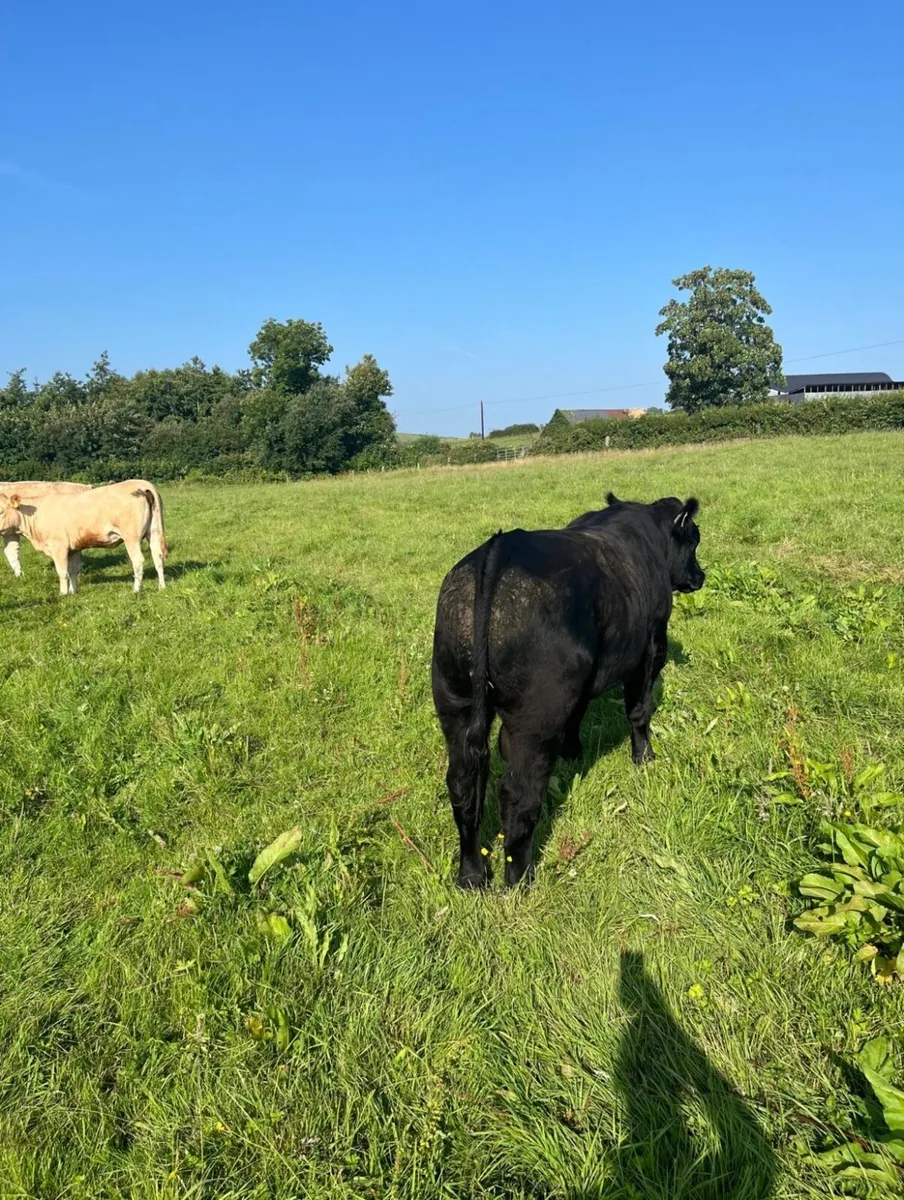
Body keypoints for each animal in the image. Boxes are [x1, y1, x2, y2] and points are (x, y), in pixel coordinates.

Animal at [0, 480, 168, 595]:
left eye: (1, 511)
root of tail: (142, 484)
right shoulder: (74, 548)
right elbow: (73, 570)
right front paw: (74, 592)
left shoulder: (58, 547)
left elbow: (62, 571)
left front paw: (63, 593)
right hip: (154, 532)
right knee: (158, 556)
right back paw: (162, 586)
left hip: (131, 537)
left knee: (138, 561)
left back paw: (136, 589)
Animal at [431, 492, 705, 890]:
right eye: (694, 540)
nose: (700, 576)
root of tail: (499, 549)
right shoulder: (651, 647)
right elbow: (639, 710)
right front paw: (644, 757)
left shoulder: (583, 679)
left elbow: (578, 711)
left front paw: (573, 751)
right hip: (534, 718)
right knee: (519, 794)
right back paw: (519, 878)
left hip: (455, 701)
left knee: (463, 784)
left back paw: (471, 875)